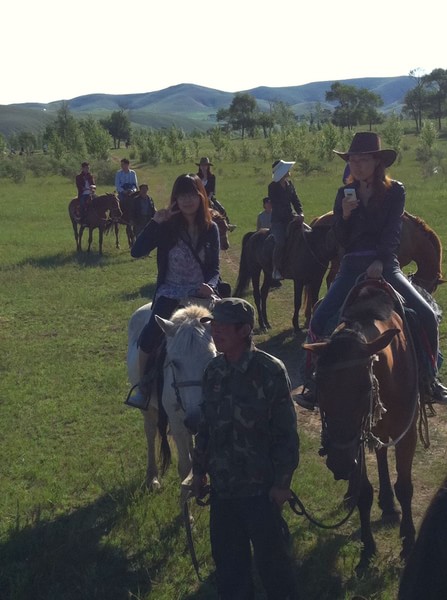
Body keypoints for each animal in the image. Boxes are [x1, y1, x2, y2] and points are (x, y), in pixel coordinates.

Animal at [126, 302, 217, 490]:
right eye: (174, 362)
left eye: (211, 358)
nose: (196, 419)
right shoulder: (177, 423)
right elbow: (184, 466)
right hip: (150, 410)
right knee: (150, 432)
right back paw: (152, 477)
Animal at [304, 280, 420, 572]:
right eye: (318, 383)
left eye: (365, 387)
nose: (338, 463)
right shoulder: (355, 438)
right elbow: (364, 493)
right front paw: (367, 549)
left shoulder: (406, 432)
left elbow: (405, 486)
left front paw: (408, 542)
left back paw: (389, 505)